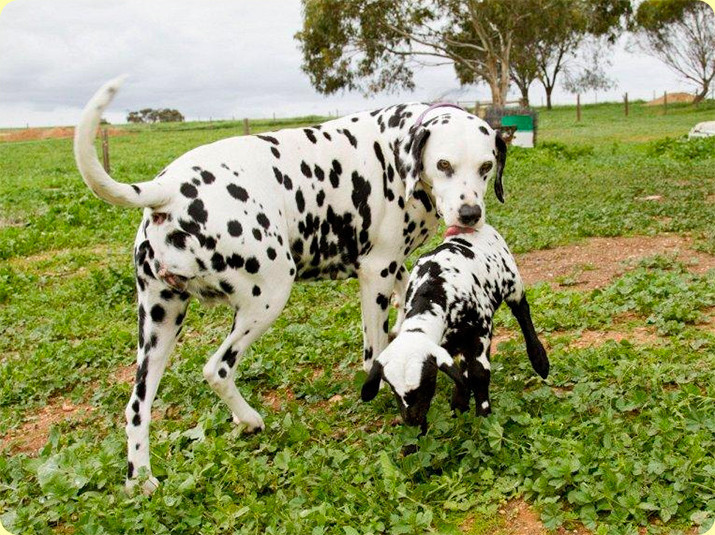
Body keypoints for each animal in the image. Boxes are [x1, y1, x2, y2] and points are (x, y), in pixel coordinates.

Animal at [72, 77, 510, 492]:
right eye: (444, 164)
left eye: (486, 166)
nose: (470, 214)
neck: (396, 149)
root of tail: (168, 188)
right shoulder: (377, 272)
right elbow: (375, 353)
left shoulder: (394, 270)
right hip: (269, 295)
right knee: (217, 369)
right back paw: (248, 419)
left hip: (160, 323)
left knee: (136, 407)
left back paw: (141, 478)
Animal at [360, 224, 552, 434]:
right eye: (393, 388)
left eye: (427, 382)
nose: (412, 420)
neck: (434, 293)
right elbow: (460, 374)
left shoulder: (480, 333)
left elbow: (479, 374)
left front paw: (484, 419)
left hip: (512, 283)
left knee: (522, 313)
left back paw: (540, 360)